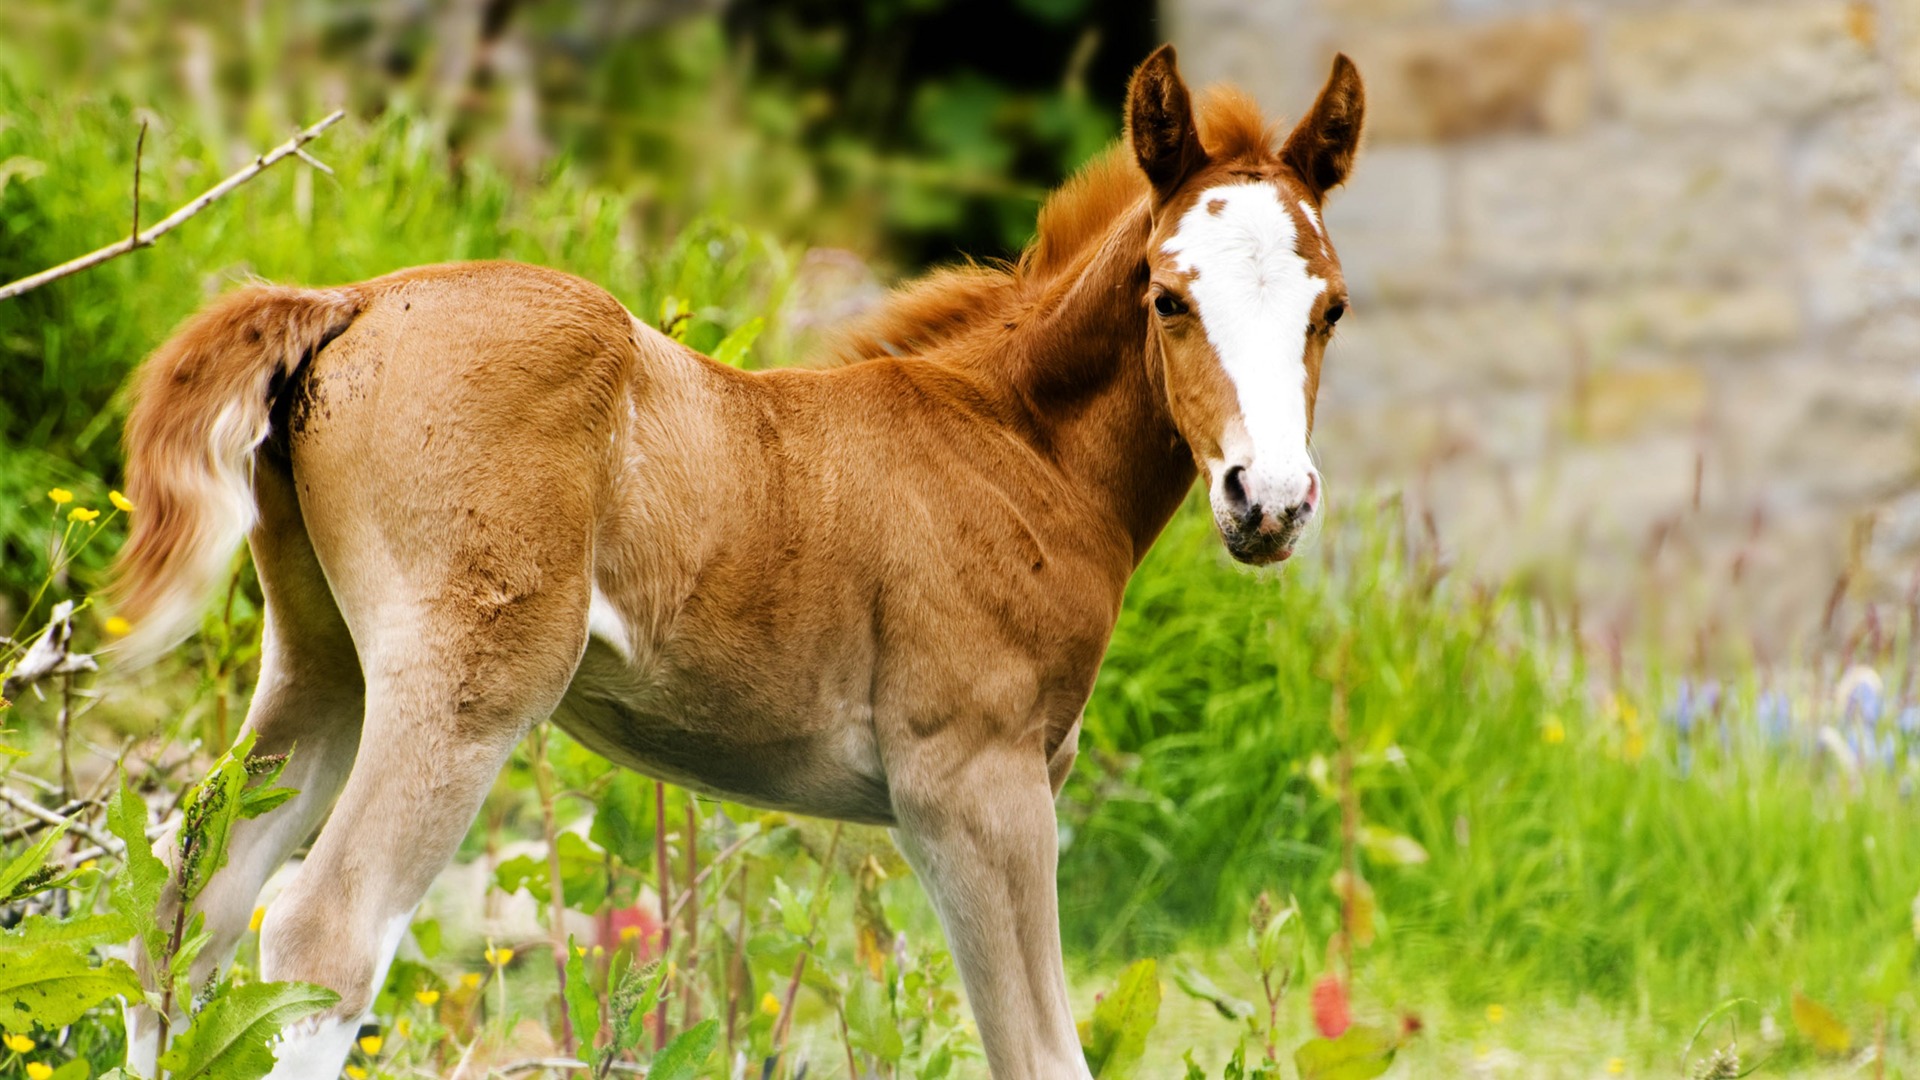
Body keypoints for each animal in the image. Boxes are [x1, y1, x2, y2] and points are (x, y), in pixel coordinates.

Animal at [112, 44, 1367, 1076]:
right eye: (1169, 297)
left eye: (1332, 310)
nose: (1268, 501)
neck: (1016, 445)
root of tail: (354, 301)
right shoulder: (973, 786)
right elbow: (1041, 1054)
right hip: (468, 680)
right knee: (321, 932)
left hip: (320, 660)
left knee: (184, 912)